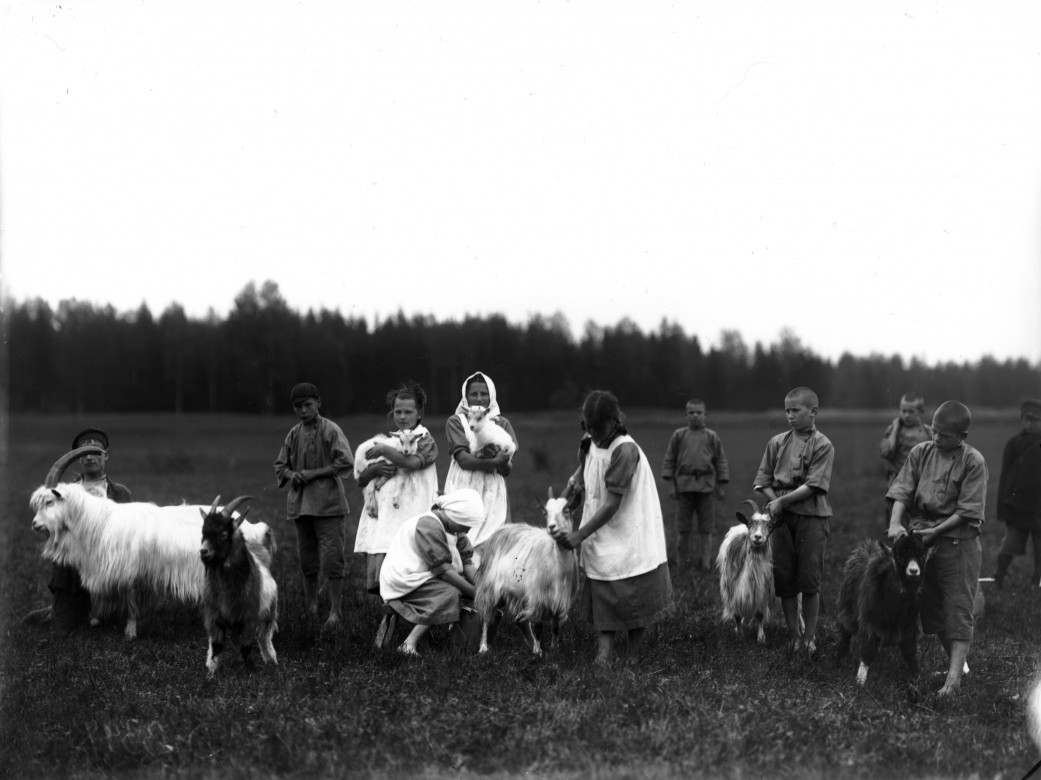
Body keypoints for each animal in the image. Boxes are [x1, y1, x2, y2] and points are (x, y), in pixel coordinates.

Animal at [29, 446, 253, 639]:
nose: (35, 525)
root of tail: (241, 521)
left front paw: (130, 634)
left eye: (49, 501)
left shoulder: (129, 571)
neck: (99, 522)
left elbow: (130, 602)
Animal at [199, 495, 278, 677]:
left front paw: (251, 672)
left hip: (269, 612)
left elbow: (246, 645)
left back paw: (271, 661)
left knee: (264, 637)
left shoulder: (249, 616)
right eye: (203, 532)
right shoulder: (214, 615)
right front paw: (211, 673)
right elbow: (217, 644)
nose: (203, 551)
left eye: (223, 533)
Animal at [474, 487, 578, 655]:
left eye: (566, 510)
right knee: (486, 617)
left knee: (518, 620)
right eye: (546, 512)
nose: (551, 527)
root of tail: (501, 530)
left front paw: (554, 649)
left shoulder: (560, 600)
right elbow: (538, 626)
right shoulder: (539, 597)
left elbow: (555, 626)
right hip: (489, 587)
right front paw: (538, 652)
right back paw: (483, 647)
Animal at [717, 499, 779, 644]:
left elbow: (759, 615)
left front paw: (761, 637)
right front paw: (739, 635)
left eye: (770, 526)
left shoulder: (761, 591)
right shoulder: (733, 591)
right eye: (750, 523)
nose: (758, 537)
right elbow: (737, 615)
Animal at [835, 533, 928, 703]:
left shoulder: (908, 629)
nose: (913, 571)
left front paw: (916, 680)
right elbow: (867, 652)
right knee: (845, 634)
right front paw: (860, 684)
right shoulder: (869, 625)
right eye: (900, 555)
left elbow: (910, 654)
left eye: (921, 555)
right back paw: (840, 660)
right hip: (847, 610)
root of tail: (868, 546)